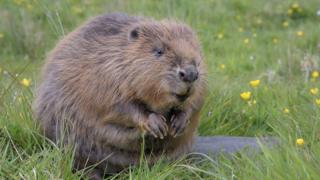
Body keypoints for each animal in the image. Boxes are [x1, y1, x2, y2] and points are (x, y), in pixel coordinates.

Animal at [33, 12, 208, 177]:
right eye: (159, 51)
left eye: (196, 50)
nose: (190, 73)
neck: (119, 55)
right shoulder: (105, 76)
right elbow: (120, 107)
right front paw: (157, 125)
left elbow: (196, 101)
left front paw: (178, 123)